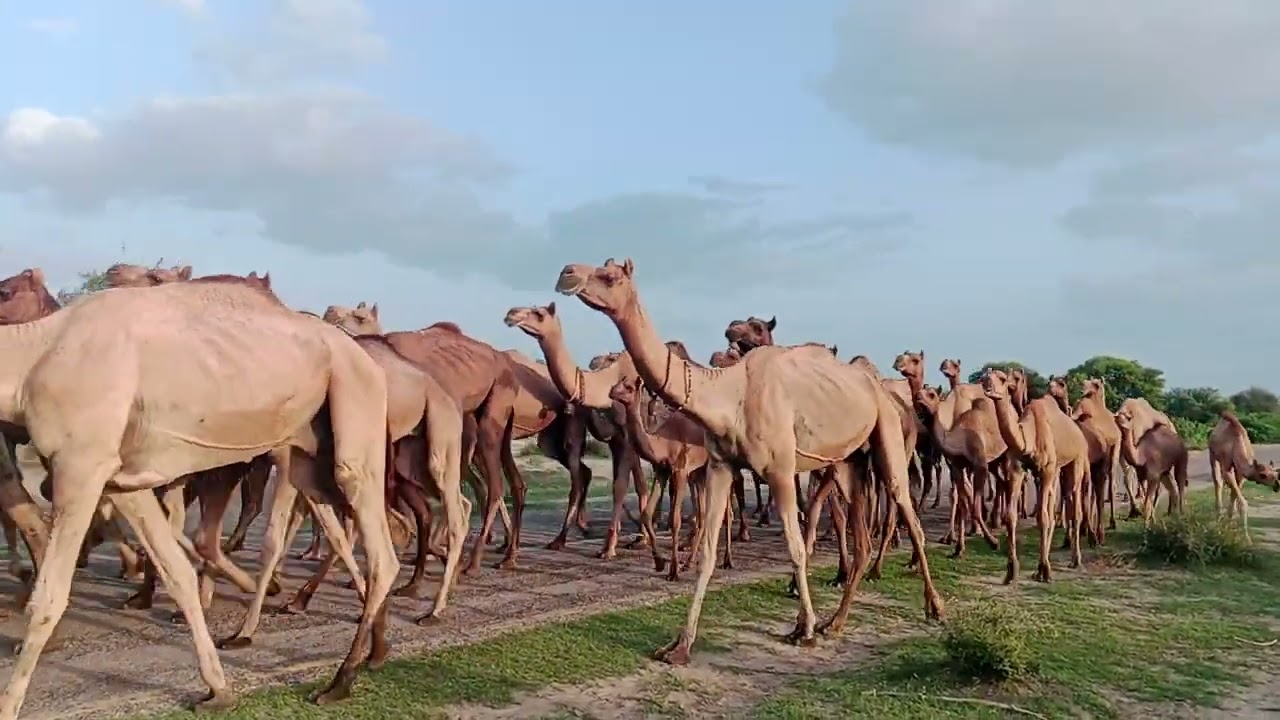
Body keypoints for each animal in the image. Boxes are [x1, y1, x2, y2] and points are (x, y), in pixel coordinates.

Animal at [0, 275, 399, 718]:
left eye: (8, 291)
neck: (33, 358)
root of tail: (367, 360)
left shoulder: (80, 465)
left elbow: (48, 599)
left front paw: (9, 705)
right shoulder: (122, 483)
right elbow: (178, 575)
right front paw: (218, 690)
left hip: (354, 408)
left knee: (382, 553)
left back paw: (339, 681)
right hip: (310, 458)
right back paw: (376, 652)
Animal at [557, 258, 942, 665]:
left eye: (610, 275)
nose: (567, 273)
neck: (730, 395)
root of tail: (879, 388)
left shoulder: (781, 471)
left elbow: (796, 546)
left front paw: (804, 630)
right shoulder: (720, 466)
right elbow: (708, 552)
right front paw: (680, 646)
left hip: (886, 435)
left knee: (906, 508)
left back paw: (933, 606)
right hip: (847, 460)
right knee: (862, 536)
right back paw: (835, 622)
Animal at [982, 369, 1090, 584]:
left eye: (1003, 379)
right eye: (985, 377)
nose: (987, 387)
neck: (1029, 436)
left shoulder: (1047, 469)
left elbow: (1042, 517)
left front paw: (1045, 569)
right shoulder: (1017, 469)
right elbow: (1011, 516)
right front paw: (1011, 571)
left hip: (1076, 460)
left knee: (1074, 505)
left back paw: (1075, 560)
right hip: (1055, 471)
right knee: (1053, 505)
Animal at [1209, 410, 1278, 539]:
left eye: (1275, 474)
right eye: (1263, 475)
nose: (1277, 485)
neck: (1237, 442)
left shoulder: (1241, 474)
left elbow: (1234, 496)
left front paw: (1230, 527)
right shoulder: (1227, 467)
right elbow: (1243, 503)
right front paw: (1246, 539)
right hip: (1212, 454)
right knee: (1218, 482)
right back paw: (1218, 519)